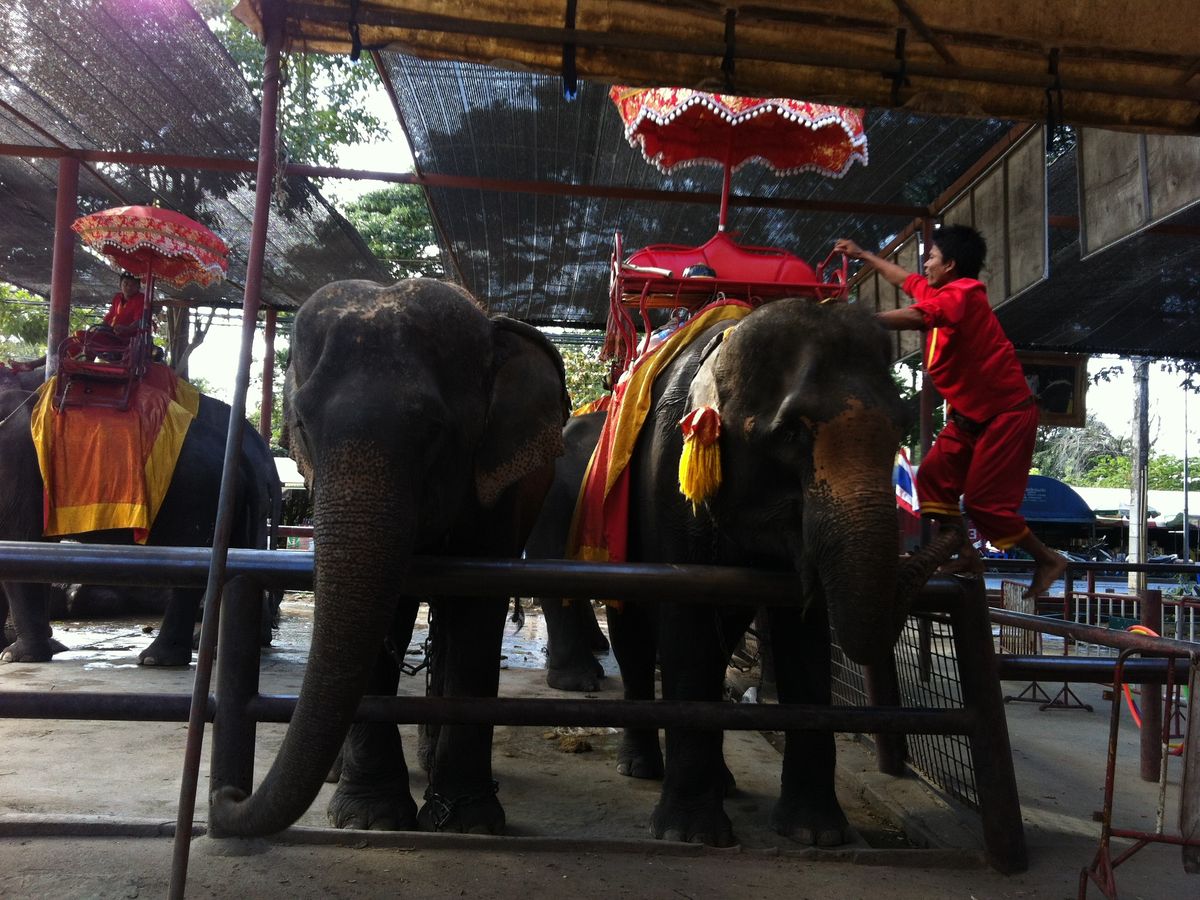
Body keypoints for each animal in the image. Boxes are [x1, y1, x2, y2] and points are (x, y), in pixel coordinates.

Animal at [0, 365, 283, 665]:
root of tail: (244, 459)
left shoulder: (17, 470)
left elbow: (20, 544)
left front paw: (13, 656)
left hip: (199, 495)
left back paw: (157, 658)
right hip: (232, 504)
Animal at [209, 277, 569, 837]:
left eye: (434, 429)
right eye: (302, 425)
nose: (226, 795)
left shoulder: (496, 496)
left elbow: (476, 620)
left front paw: (468, 824)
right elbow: (385, 617)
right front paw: (370, 819)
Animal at [527, 299, 957, 847]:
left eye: (901, 427)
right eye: (790, 432)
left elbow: (804, 636)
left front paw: (816, 834)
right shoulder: (669, 476)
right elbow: (687, 624)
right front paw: (692, 836)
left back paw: (723, 781)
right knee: (632, 632)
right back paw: (635, 759)